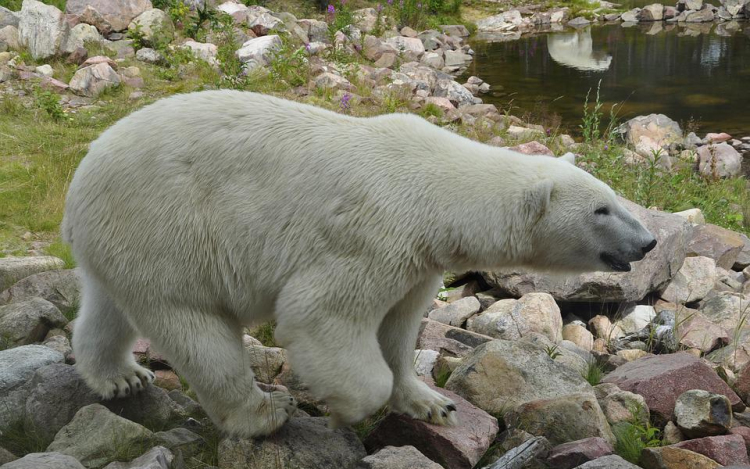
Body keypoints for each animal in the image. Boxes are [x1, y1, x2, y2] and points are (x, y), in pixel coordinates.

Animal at [60, 90, 656, 436]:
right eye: (602, 209)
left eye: (615, 197)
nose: (648, 242)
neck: (435, 190)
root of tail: (82, 174)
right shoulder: (373, 236)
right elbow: (321, 315)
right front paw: (347, 405)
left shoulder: (418, 260)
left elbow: (400, 327)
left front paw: (430, 403)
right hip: (172, 226)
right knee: (195, 328)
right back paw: (261, 415)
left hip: (129, 240)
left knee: (109, 306)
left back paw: (119, 377)